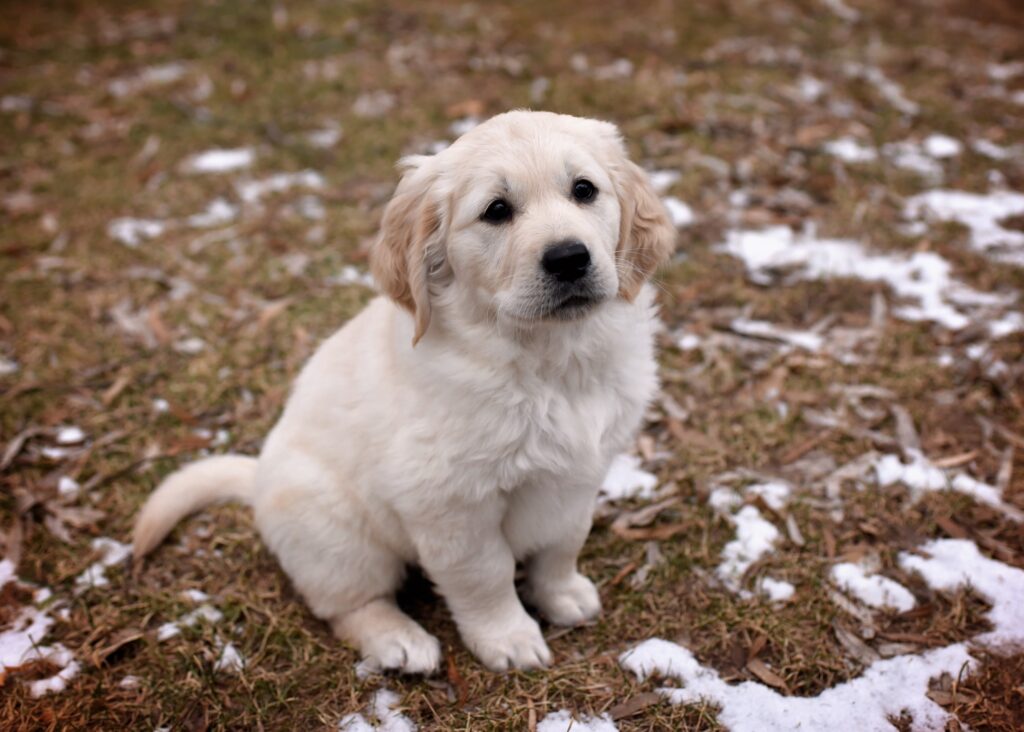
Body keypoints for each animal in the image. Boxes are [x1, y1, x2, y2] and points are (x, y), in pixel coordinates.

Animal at [134, 110, 679, 675]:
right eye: (496, 210)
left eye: (584, 190)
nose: (569, 258)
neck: (550, 361)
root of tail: (258, 478)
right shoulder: (450, 502)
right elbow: (486, 575)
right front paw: (507, 638)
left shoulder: (581, 476)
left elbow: (563, 543)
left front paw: (563, 595)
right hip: (338, 537)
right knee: (347, 604)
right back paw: (399, 640)